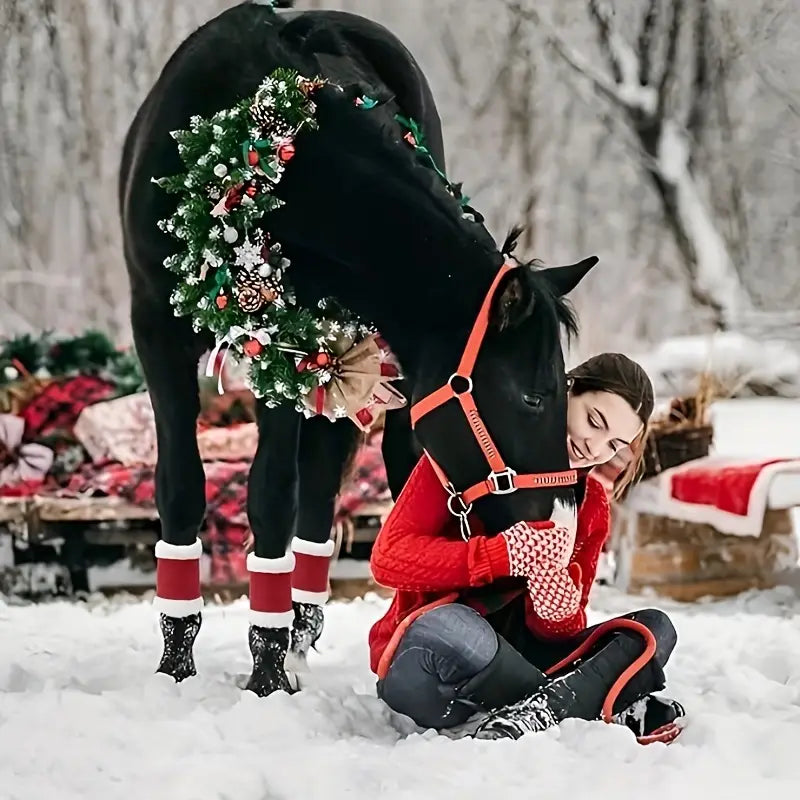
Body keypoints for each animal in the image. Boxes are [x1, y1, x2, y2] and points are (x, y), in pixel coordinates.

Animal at [119, 1, 592, 692]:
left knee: (334, 482)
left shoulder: (292, 347)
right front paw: (176, 661)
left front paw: (269, 669)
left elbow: (277, 493)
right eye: (533, 396)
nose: (557, 527)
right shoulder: (157, 327)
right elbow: (181, 485)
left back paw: (302, 631)